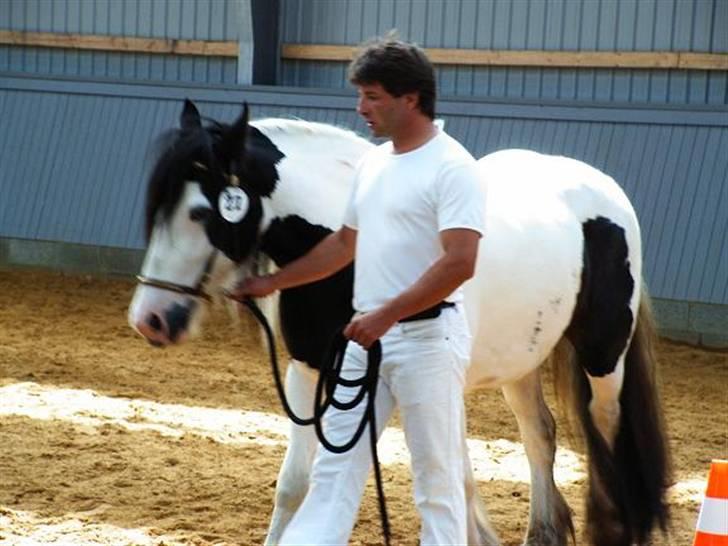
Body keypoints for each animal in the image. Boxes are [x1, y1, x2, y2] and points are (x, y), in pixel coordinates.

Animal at [129, 100, 672, 540]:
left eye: (200, 213)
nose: (149, 318)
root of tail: (601, 187)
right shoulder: (307, 370)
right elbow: (295, 484)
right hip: (519, 361)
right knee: (540, 434)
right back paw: (543, 532)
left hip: (605, 353)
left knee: (606, 428)